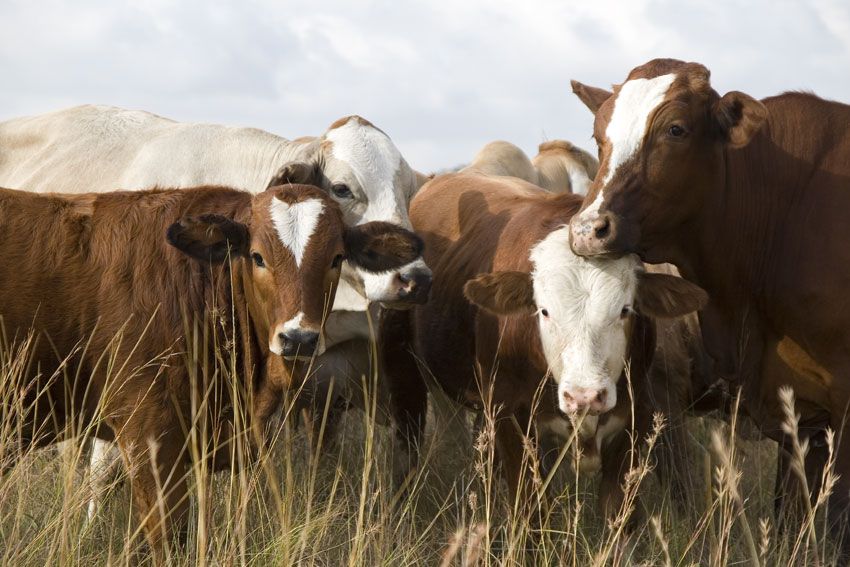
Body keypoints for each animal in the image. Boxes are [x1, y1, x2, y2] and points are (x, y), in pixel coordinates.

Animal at [380, 171, 706, 518]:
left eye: (625, 310)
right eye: (544, 310)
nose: (585, 396)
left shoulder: (633, 422)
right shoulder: (511, 422)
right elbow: (531, 510)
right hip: (403, 371)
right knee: (407, 443)